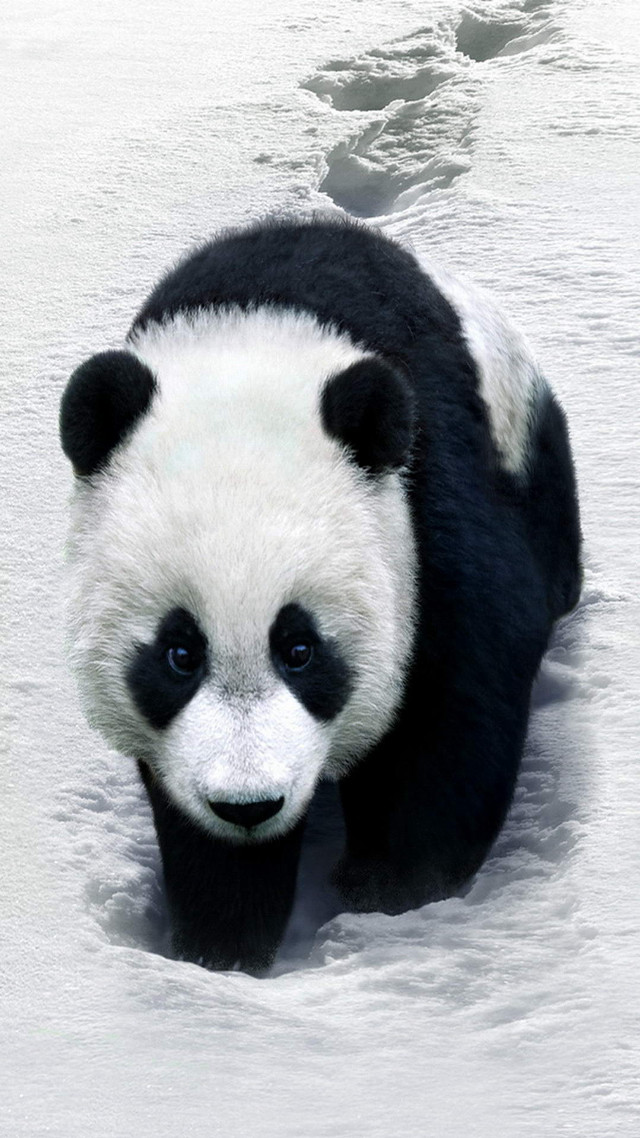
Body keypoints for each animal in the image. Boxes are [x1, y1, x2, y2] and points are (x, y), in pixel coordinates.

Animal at [60, 215, 581, 975]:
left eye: (300, 648)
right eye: (179, 653)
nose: (248, 805)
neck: (256, 333)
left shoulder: (424, 496)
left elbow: (458, 697)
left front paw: (390, 892)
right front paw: (221, 942)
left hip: (522, 431)